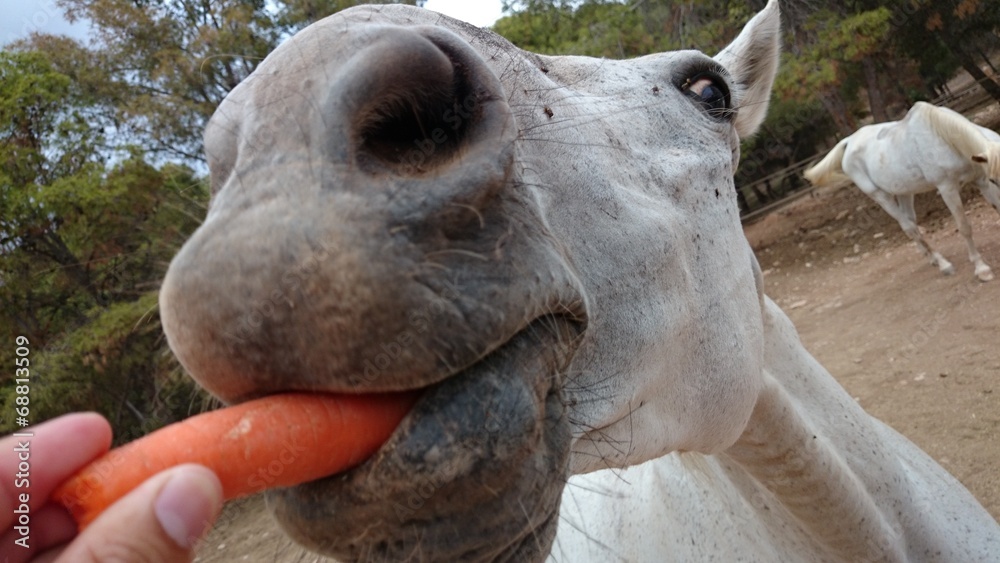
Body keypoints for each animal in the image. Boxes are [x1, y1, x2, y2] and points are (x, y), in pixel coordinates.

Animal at [804, 102, 1000, 282]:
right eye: (994, 180)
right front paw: (981, 269)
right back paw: (944, 265)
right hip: (880, 196)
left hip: (904, 192)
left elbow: (996, 207)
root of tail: (849, 141)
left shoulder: (980, 181)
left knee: (910, 223)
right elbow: (964, 227)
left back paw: (932, 259)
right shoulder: (947, 188)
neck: (946, 139)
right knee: (909, 227)